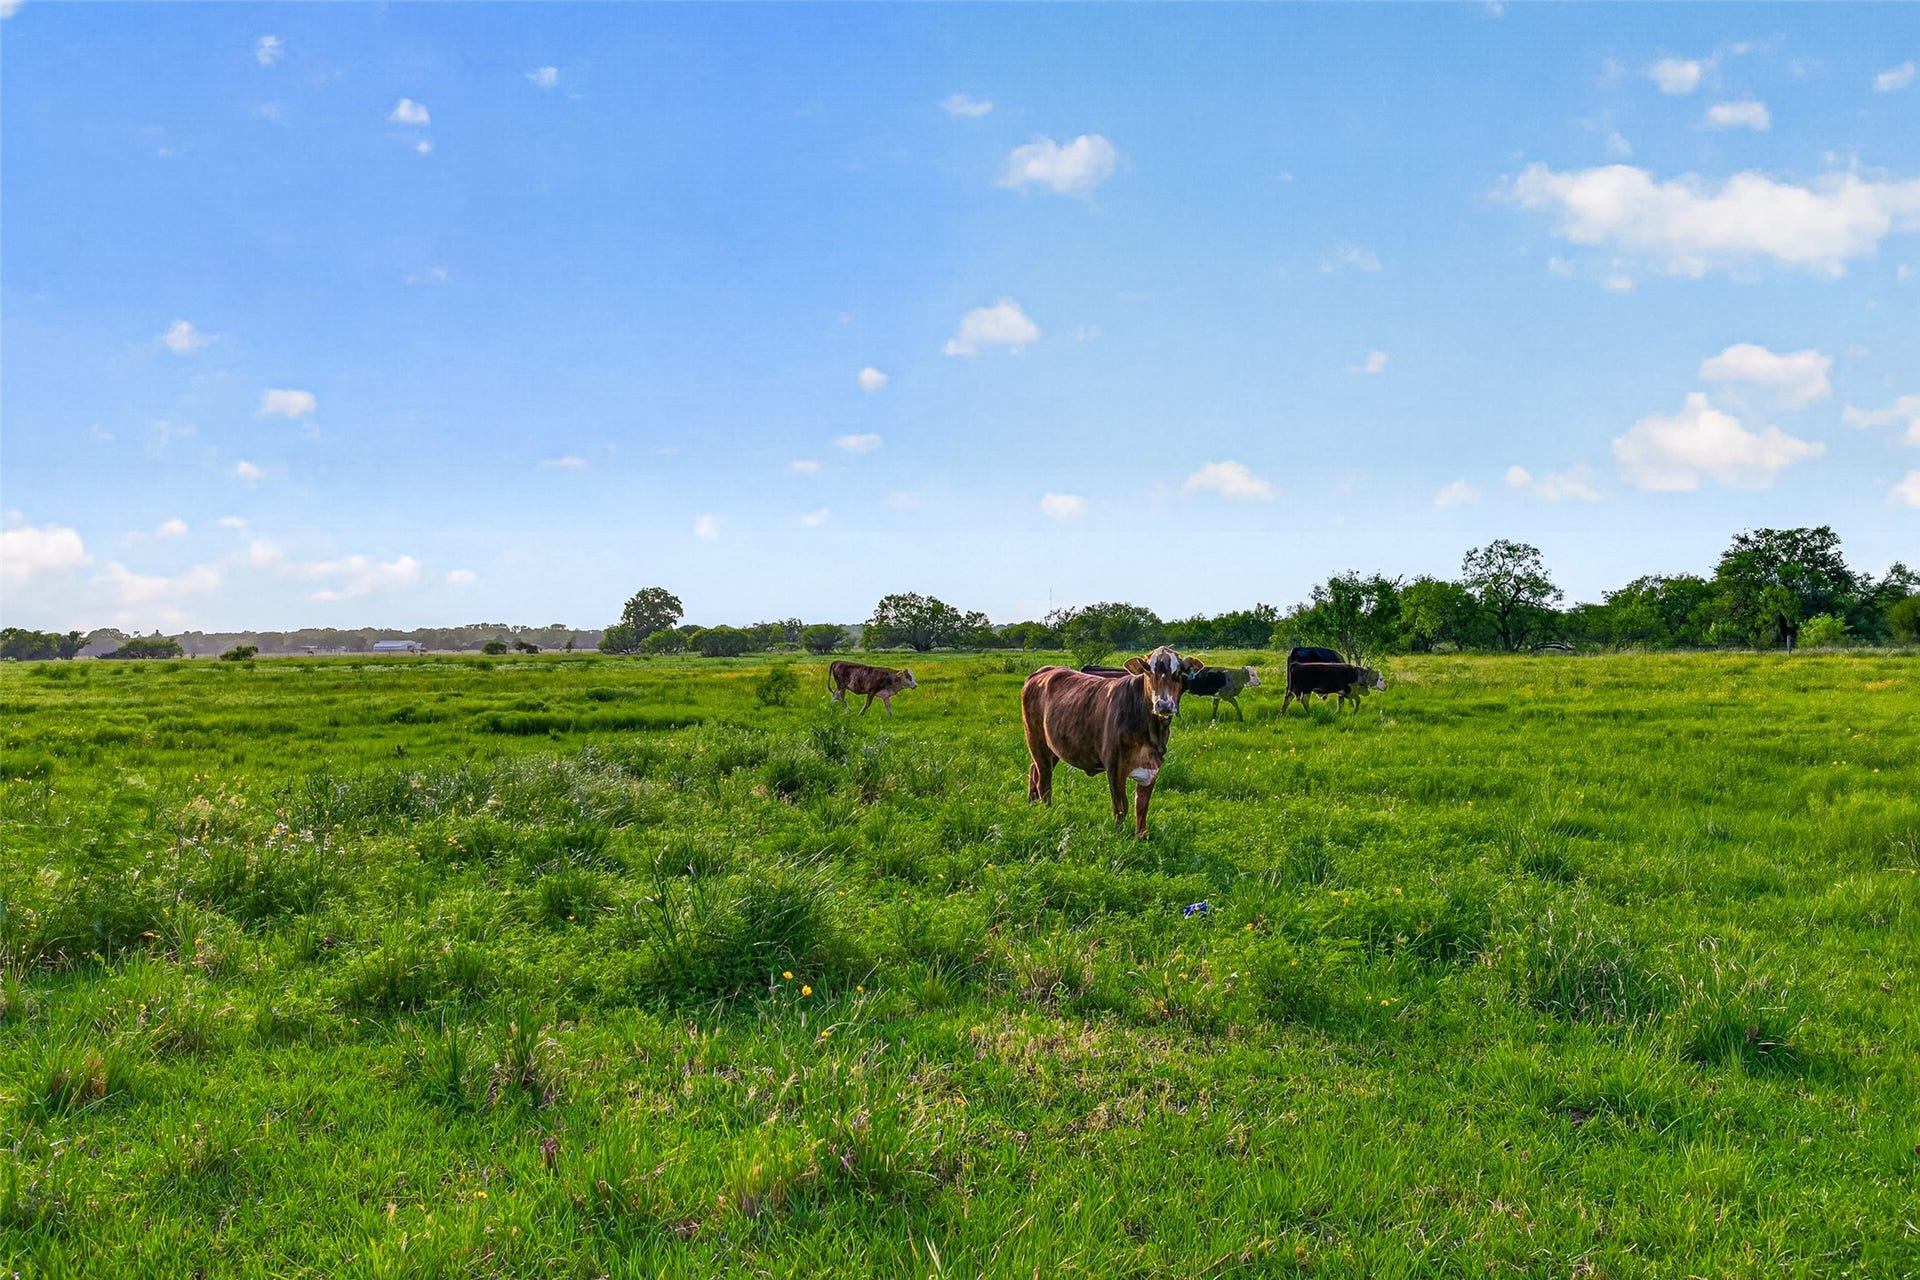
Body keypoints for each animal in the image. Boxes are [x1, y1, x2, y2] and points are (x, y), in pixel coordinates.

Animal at [1021, 646, 1203, 838]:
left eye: (1179, 672)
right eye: (1148, 671)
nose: (1164, 705)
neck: (1150, 732)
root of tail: (1043, 671)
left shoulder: (1153, 766)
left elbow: (1142, 806)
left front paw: (1141, 837)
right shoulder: (1114, 765)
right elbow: (1121, 806)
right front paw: (1119, 836)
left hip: (1053, 746)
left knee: (1034, 770)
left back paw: (1032, 805)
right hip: (1036, 739)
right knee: (1044, 780)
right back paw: (1046, 811)